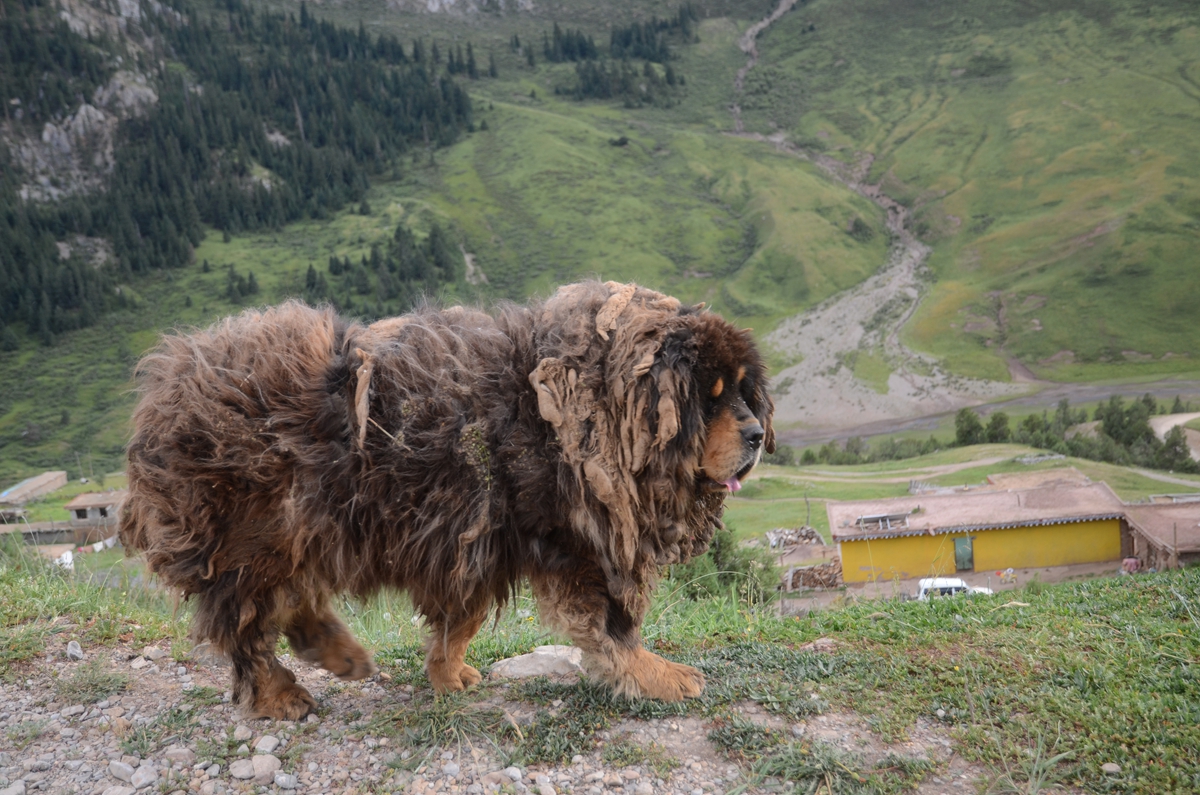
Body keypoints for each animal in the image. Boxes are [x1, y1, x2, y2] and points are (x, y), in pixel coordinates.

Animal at [121, 282, 772, 720]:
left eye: (743, 393)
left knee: (284, 601)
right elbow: (613, 628)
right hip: (258, 532)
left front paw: (447, 673)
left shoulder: (479, 541)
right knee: (246, 623)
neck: (595, 409)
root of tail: (165, 388)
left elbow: (462, 620)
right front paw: (657, 674)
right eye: (708, 399)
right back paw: (281, 692)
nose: (758, 435)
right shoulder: (569, 544)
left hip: (298, 532)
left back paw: (338, 654)